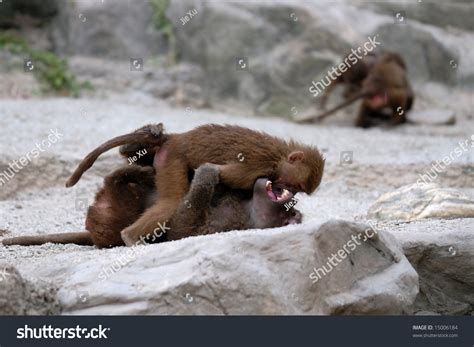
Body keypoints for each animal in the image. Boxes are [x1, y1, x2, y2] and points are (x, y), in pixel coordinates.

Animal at [2, 164, 300, 249]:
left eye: (293, 212)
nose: (294, 201)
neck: (250, 211)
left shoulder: (222, 224)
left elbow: (183, 227)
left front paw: (206, 175)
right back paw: (138, 172)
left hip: (111, 219)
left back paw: (125, 176)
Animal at [65, 123, 324, 247]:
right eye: (295, 184)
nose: (290, 192)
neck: (279, 156)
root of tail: (176, 140)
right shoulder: (254, 168)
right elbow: (219, 173)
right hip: (172, 159)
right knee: (171, 201)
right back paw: (130, 237)